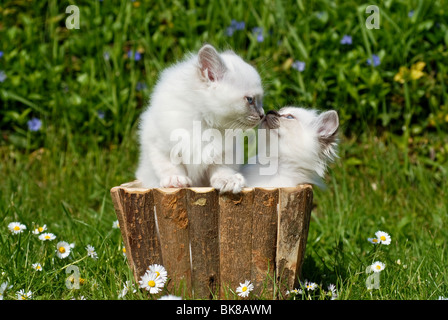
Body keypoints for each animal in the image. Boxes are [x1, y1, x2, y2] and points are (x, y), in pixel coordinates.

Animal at [135, 44, 264, 194]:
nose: (262, 115)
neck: (202, 122)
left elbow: (222, 168)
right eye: (250, 100)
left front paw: (228, 180)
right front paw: (175, 180)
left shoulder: (223, 152)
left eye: (259, 100)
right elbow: (170, 166)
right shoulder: (159, 145)